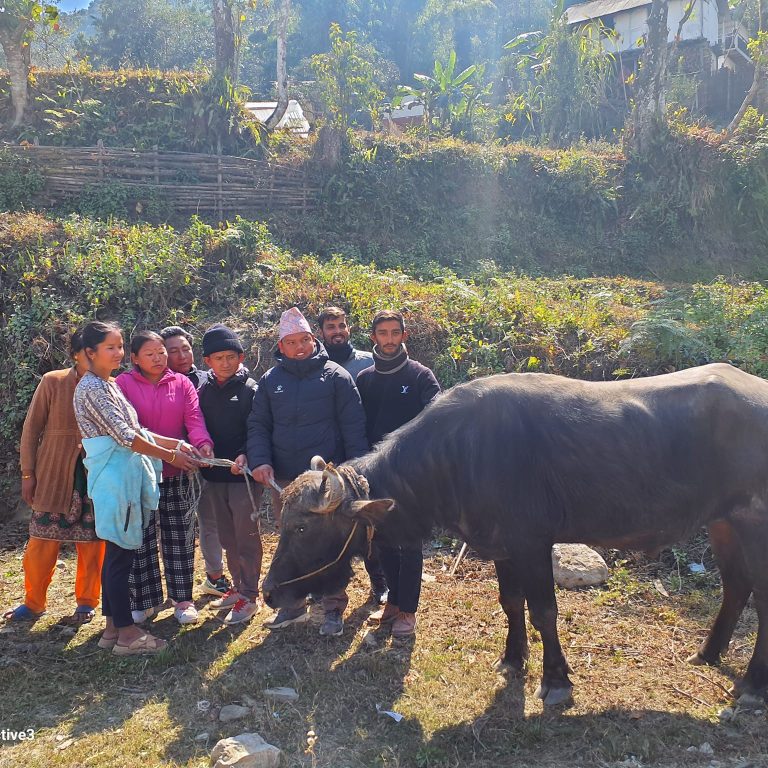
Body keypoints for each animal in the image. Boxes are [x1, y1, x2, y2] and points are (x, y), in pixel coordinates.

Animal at [260, 364, 768, 704]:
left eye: (301, 526)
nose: (269, 592)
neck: (458, 455)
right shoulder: (502, 547)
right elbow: (511, 603)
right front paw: (512, 659)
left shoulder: (531, 543)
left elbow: (544, 610)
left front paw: (556, 680)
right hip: (722, 522)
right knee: (736, 586)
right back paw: (707, 653)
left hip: (754, 524)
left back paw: (751, 686)